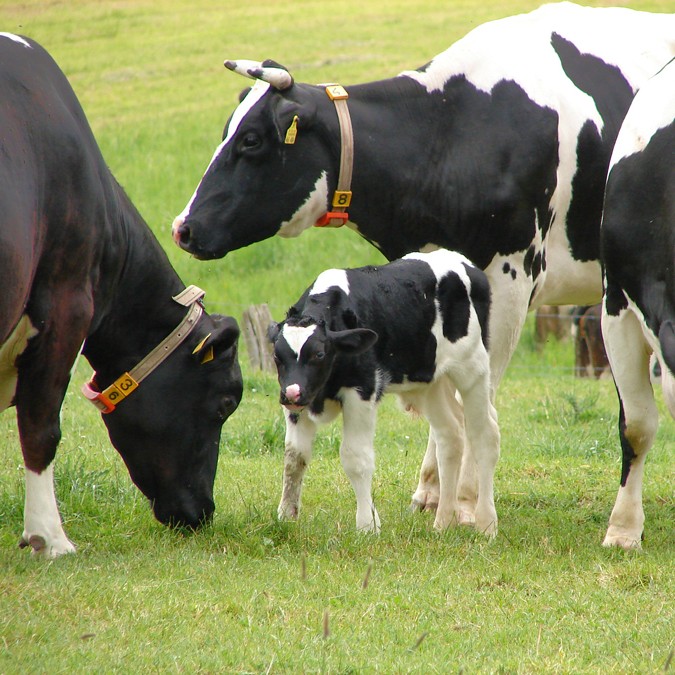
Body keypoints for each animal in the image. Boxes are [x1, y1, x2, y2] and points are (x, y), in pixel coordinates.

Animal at [266, 251, 500, 536]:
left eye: (319, 354)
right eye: (277, 356)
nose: (291, 394)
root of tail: (463, 262)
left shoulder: (362, 390)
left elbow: (356, 458)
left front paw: (367, 525)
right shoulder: (300, 402)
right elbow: (294, 457)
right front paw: (286, 514)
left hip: (473, 368)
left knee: (484, 435)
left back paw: (486, 523)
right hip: (429, 382)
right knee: (451, 435)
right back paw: (443, 522)